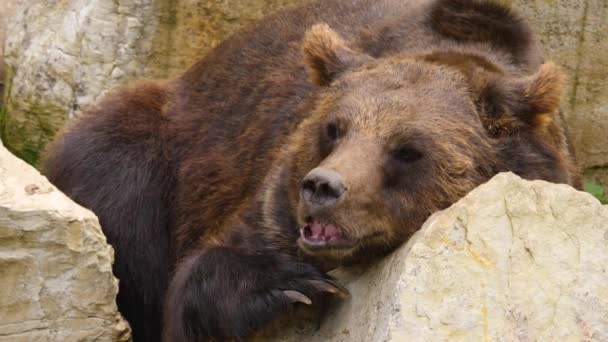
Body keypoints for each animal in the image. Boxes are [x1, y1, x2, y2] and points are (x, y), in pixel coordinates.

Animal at [42, 0, 580, 340]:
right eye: (333, 128)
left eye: (408, 150)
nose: (323, 188)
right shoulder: (268, 196)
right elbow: (199, 279)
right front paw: (288, 284)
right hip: (159, 144)